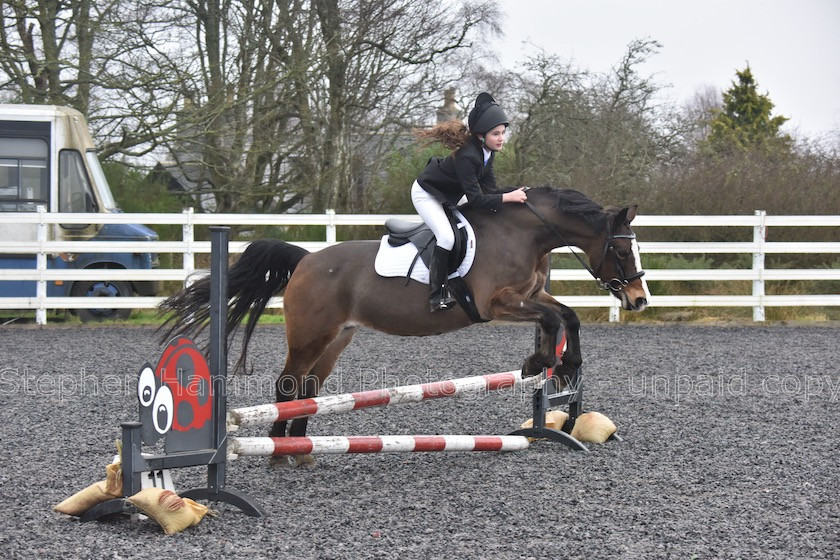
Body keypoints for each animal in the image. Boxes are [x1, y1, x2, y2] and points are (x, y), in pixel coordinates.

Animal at [162, 186, 648, 466]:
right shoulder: (495, 303)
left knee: (309, 388)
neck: (524, 233)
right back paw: (279, 454)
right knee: (288, 385)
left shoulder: (530, 295)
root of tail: (306, 260)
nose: (639, 300)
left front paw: (562, 366)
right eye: (622, 252)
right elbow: (551, 318)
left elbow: (566, 315)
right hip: (309, 336)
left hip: (336, 339)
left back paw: (301, 453)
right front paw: (541, 361)